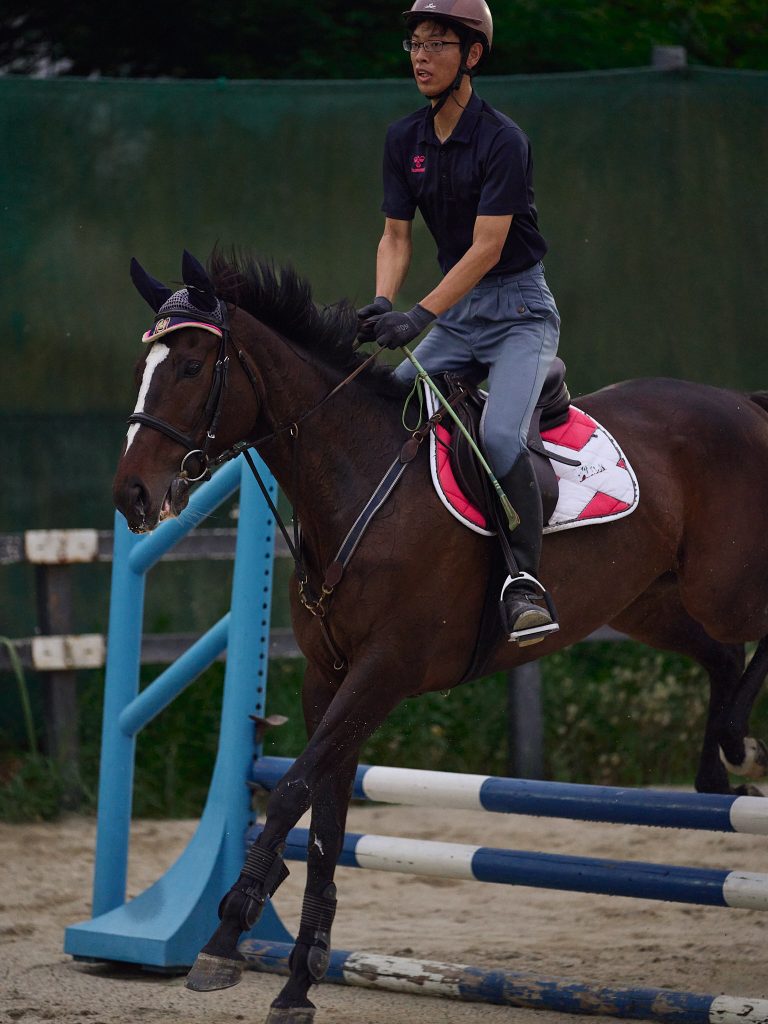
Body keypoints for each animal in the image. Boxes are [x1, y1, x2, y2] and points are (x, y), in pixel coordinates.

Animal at [113, 249, 768, 1024]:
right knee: (722, 655)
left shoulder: (385, 670)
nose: (131, 495)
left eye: (189, 366)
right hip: (655, 600)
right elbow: (327, 819)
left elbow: (293, 788)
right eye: (143, 365)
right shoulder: (328, 677)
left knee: (749, 637)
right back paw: (721, 760)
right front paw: (298, 979)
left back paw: (739, 743)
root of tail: (742, 404)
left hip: (726, 587)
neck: (352, 476)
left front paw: (231, 923)